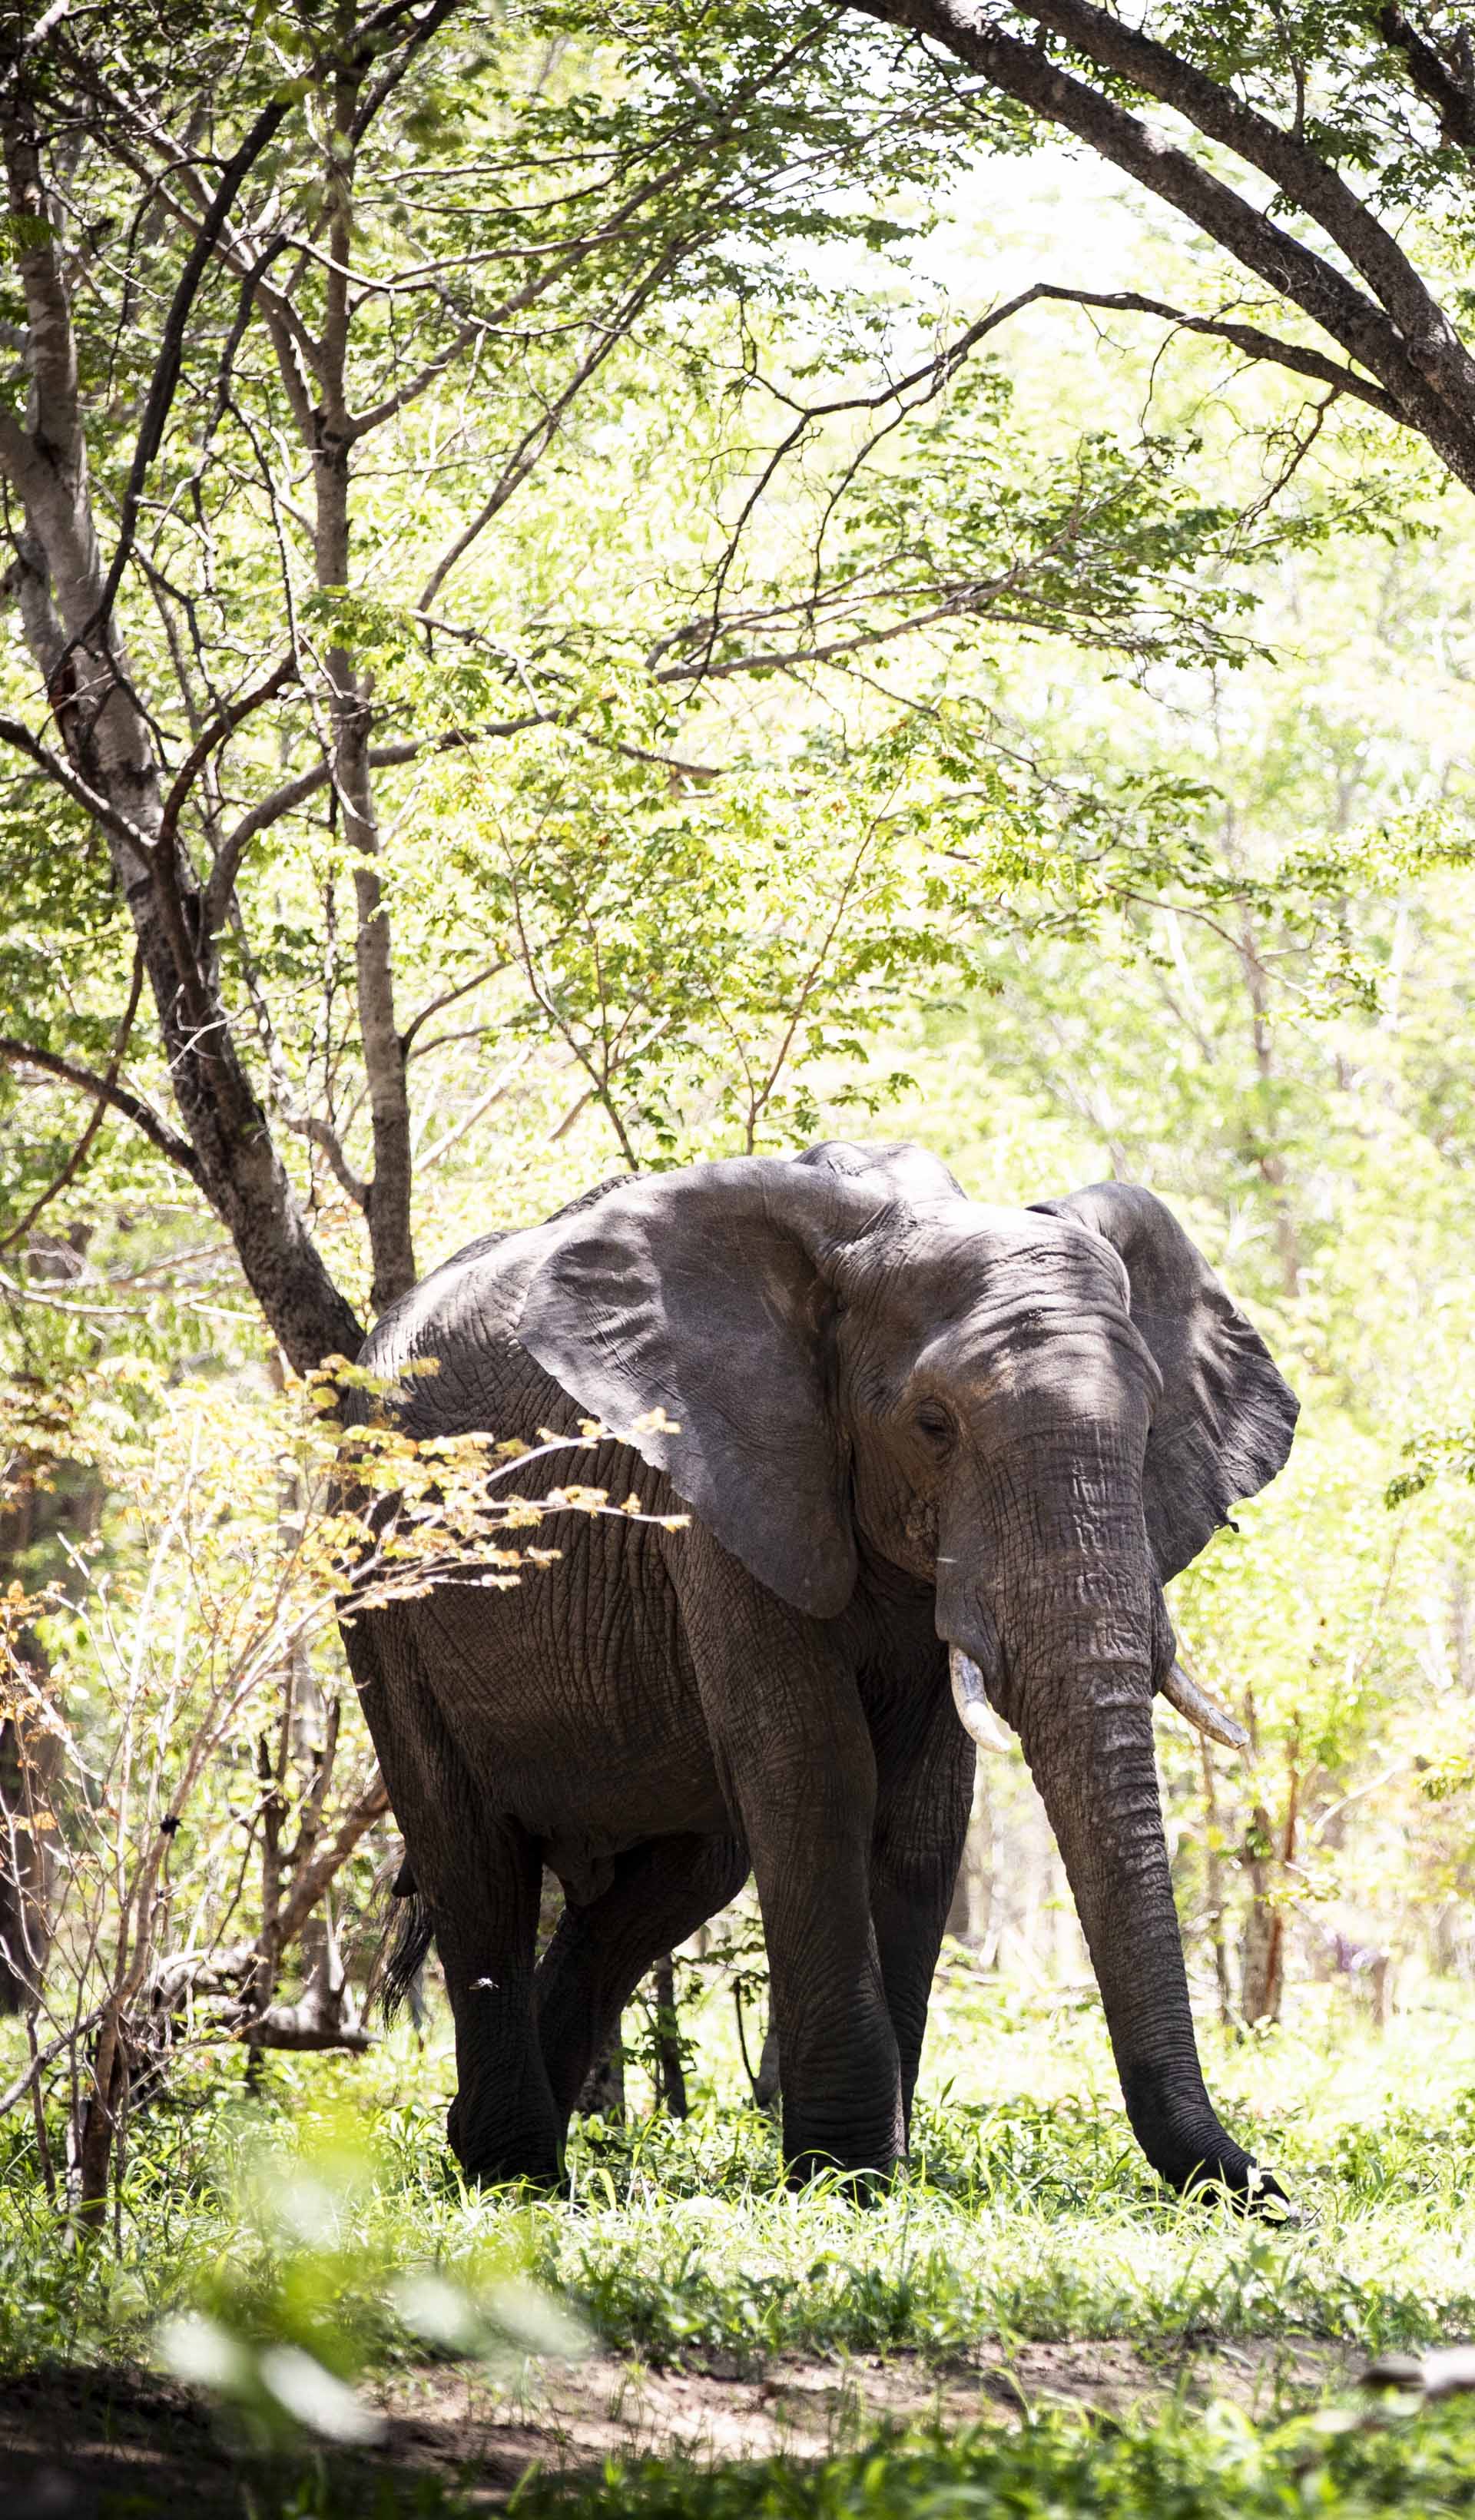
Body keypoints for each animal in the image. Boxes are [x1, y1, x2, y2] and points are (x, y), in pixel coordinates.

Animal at [342, 1138, 1298, 2198]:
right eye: (933, 1424)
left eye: (1149, 1424)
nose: (1275, 2198)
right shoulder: (720, 1486)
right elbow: (815, 1767)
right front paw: (847, 2178)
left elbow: (926, 1809)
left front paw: (872, 2169)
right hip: (376, 1574)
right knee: (473, 1860)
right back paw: (515, 2178)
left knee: (679, 1877)